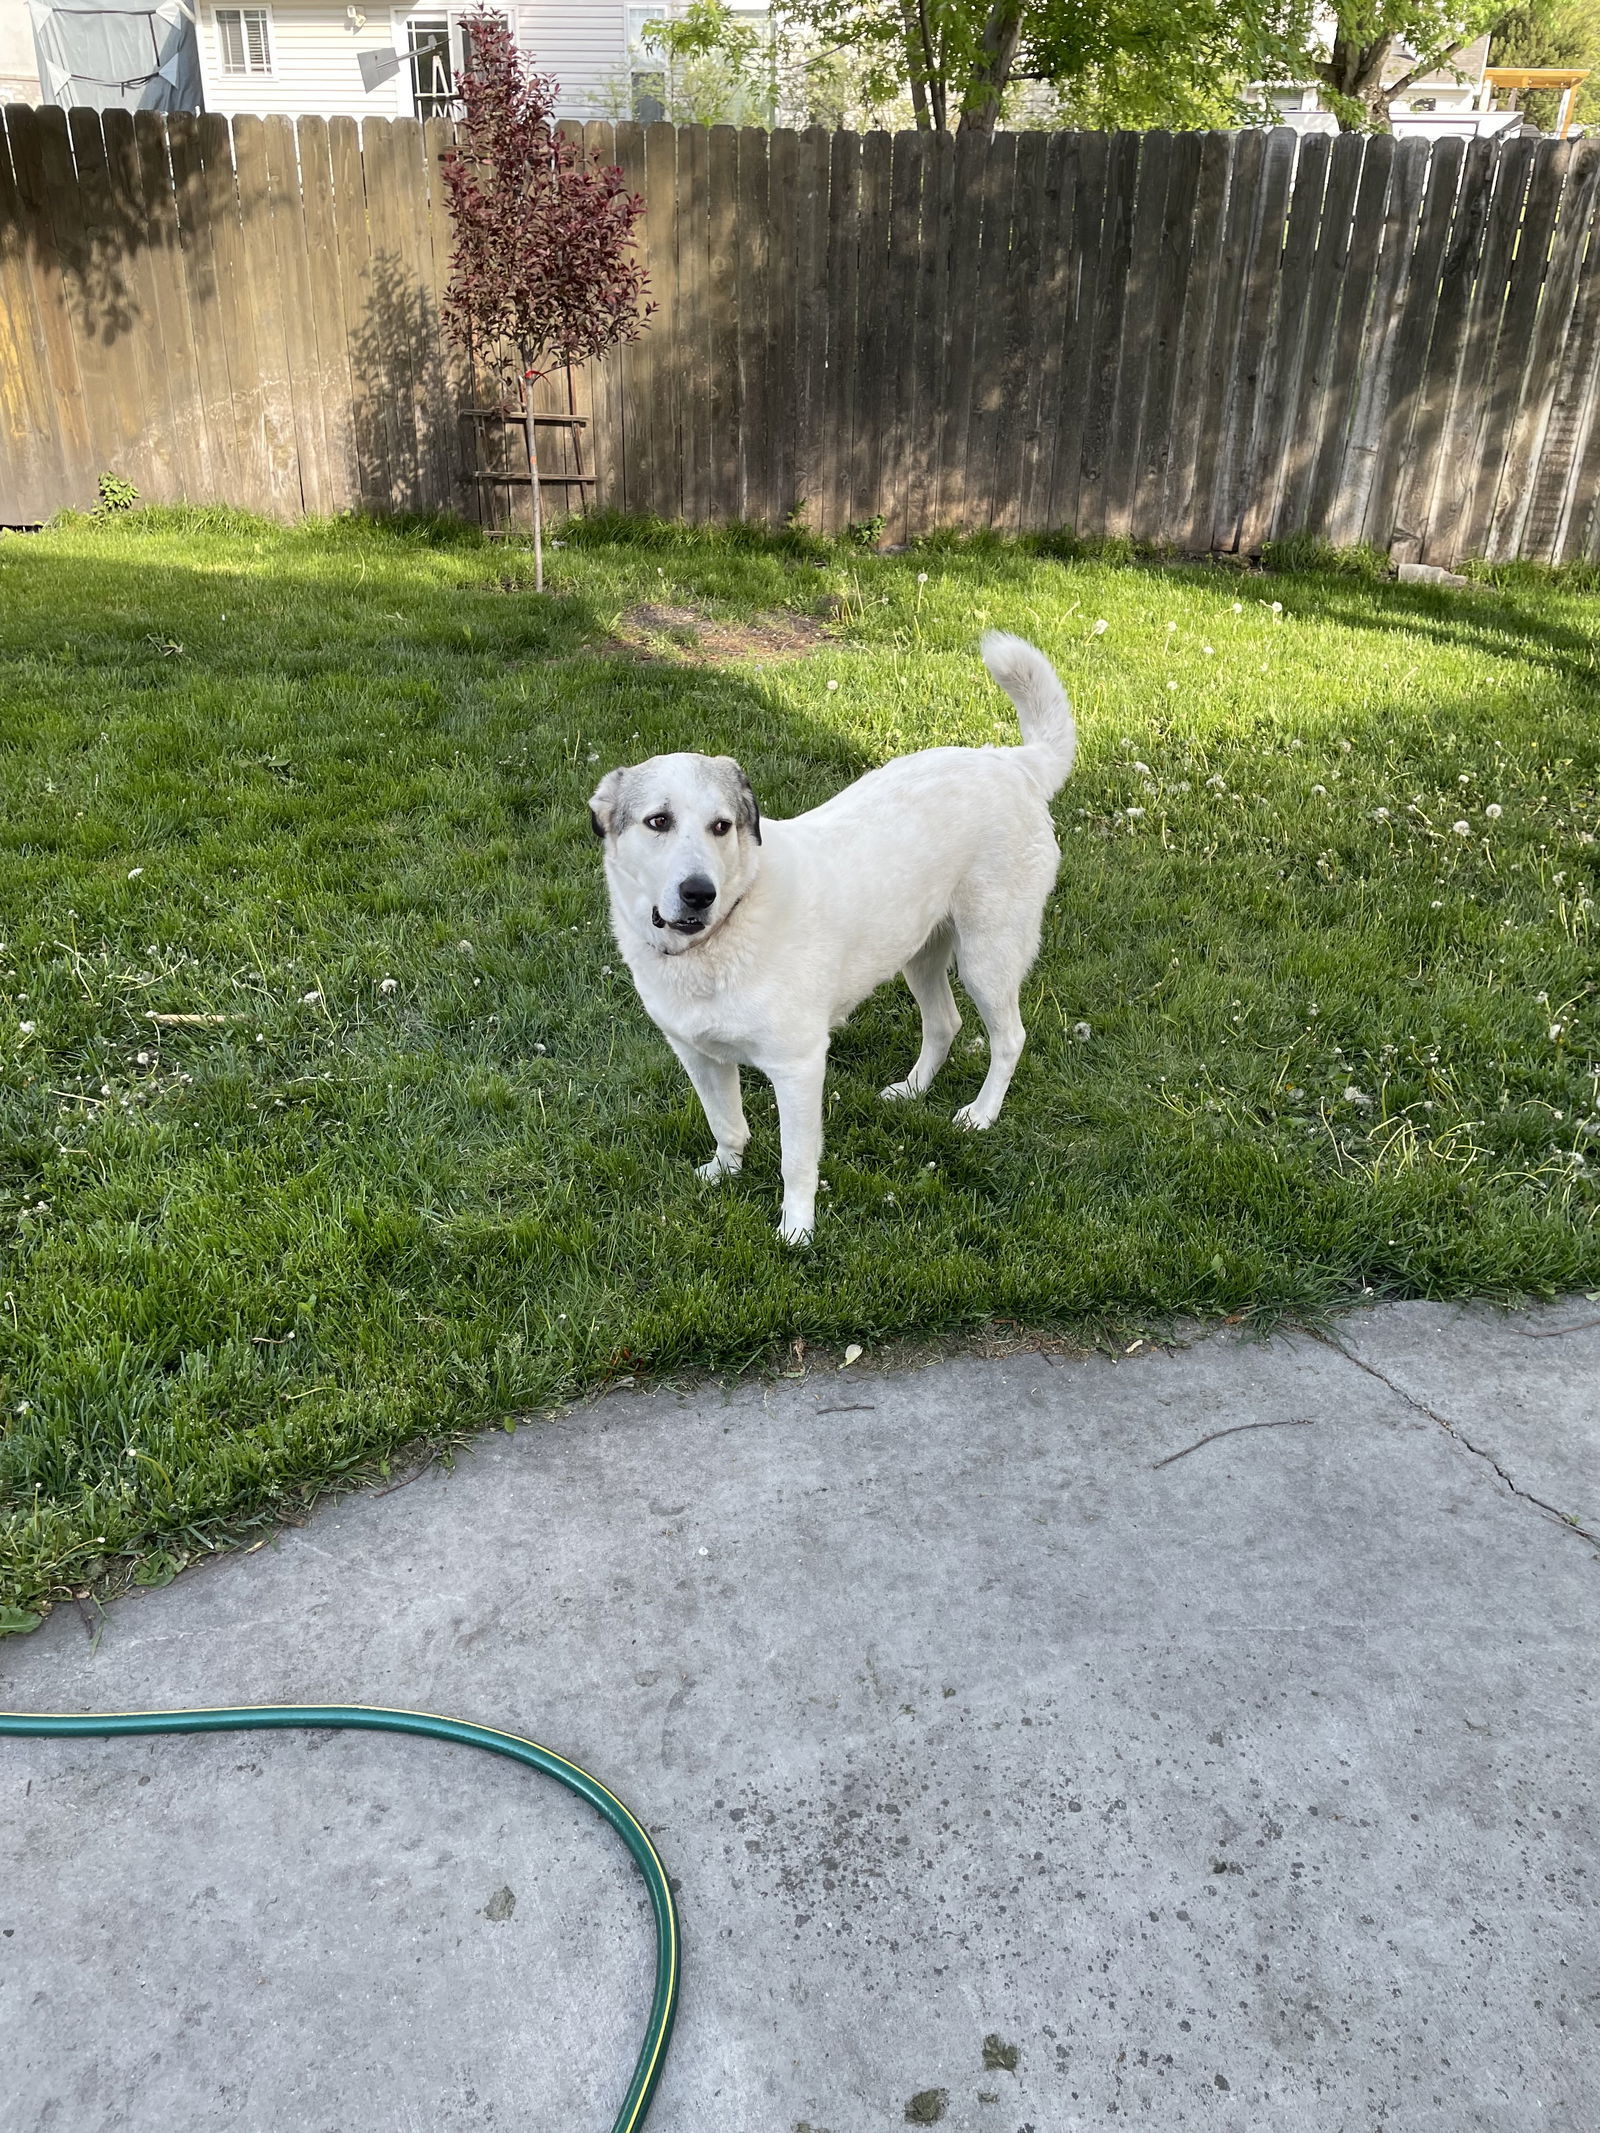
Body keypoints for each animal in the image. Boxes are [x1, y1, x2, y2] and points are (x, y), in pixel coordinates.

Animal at [588, 627, 1079, 1245]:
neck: (720, 937)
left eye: (722, 826)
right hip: (918, 952)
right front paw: (724, 1171)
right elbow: (727, 1123)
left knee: (1009, 1037)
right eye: (658, 821)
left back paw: (981, 1114)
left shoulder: (798, 1066)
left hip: (986, 957)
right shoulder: (697, 1054)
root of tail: (1008, 761)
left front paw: (797, 1229)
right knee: (945, 1023)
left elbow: (796, 1160)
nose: (700, 893)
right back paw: (912, 1091)